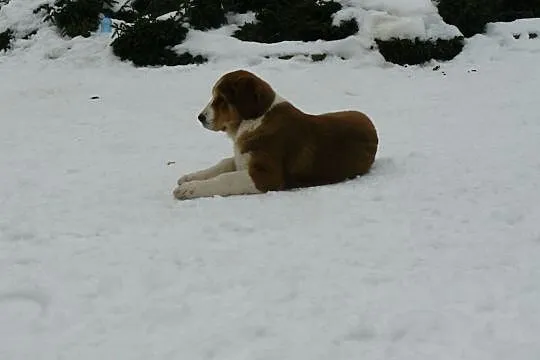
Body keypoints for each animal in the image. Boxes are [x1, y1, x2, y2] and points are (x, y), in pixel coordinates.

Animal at [174, 70, 380, 200]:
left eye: (221, 99)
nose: (200, 117)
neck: (255, 119)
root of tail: (369, 121)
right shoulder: (243, 159)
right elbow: (222, 165)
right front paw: (190, 178)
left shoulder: (267, 175)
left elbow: (226, 178)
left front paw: (188, 189)